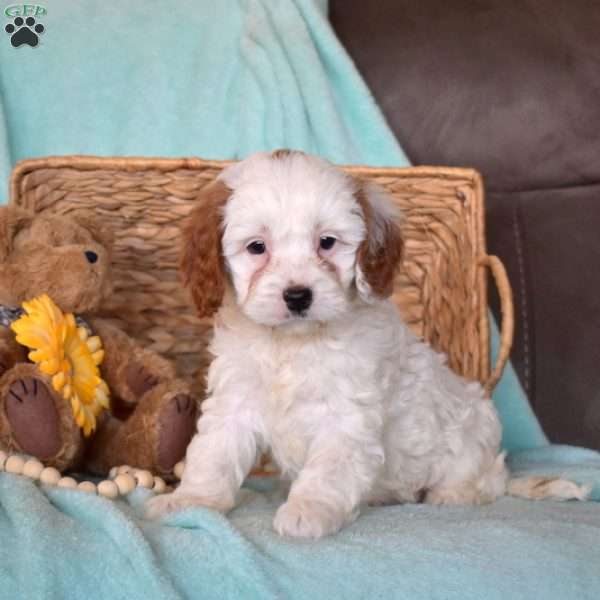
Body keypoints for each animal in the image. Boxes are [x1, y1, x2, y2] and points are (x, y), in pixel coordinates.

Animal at [148, 150, 588, 540]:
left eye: (327, 242)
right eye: (257, 247)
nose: (297, 296)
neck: (292, 345)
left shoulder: (345, 415)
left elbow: (327, 469)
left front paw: (308, 510)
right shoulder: (234, 401)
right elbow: (214, 453)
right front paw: (191, 500)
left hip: (475, 433)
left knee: (483, 482)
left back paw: (451, 495)